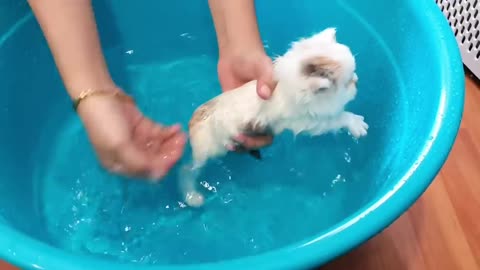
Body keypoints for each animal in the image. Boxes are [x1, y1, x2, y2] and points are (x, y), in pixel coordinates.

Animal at [179, 28, 368, 207]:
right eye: (348, 82)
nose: (358, 81)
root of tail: (192, 122)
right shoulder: (309, 122)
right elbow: (339, 118)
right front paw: (356, 123)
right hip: (208, 152)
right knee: (186, 169)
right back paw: (192, 197)